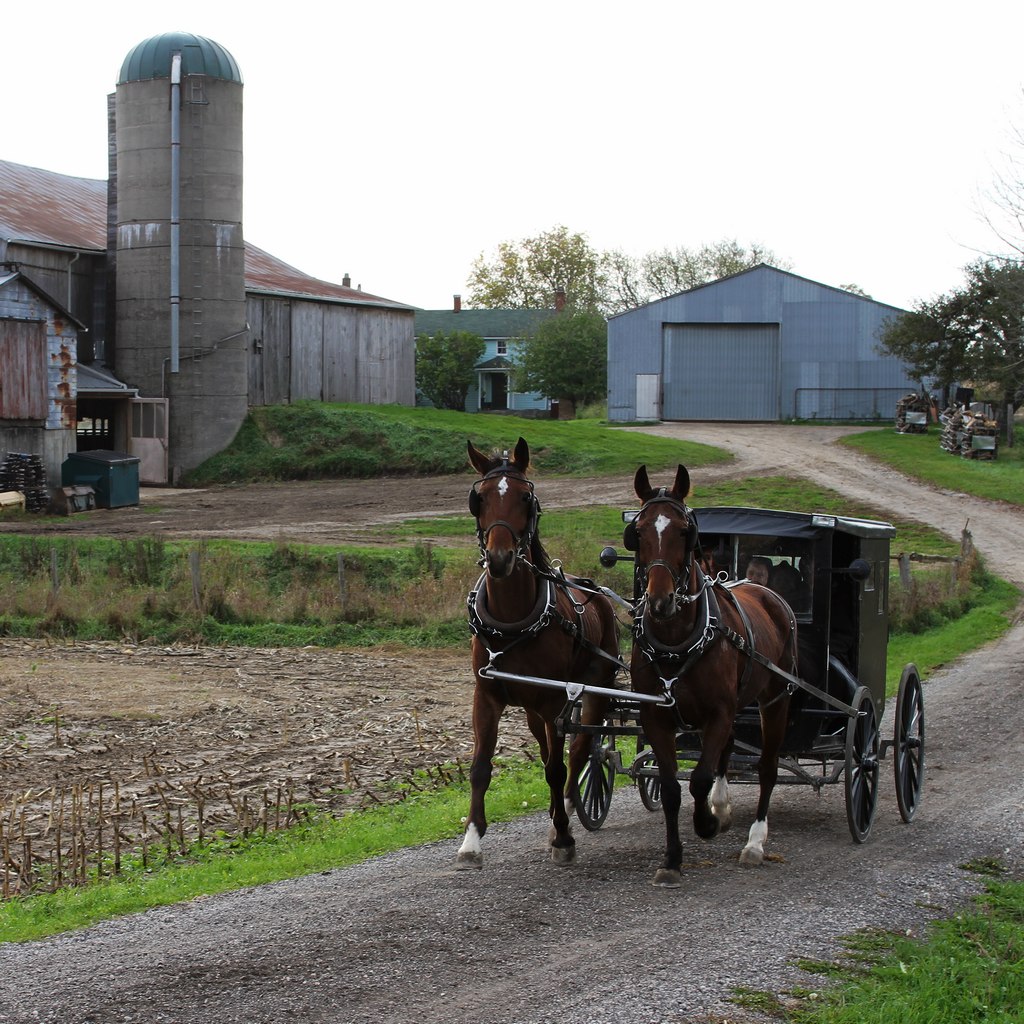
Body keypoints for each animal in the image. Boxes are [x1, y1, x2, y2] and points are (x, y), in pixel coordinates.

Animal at [458, 436, 618, 868]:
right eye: (478, 499)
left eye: (525, 498)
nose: (500, 559)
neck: (513, 618)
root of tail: (596, 591)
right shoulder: (486, 695)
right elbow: (480, 767)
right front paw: (471, 840)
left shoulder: (552, 701)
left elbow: (555, 768)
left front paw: (563, 836)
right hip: (531, 705)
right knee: (552, 747)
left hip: (592, 690)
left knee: (580, 751)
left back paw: (566, 812)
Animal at [622, 466, 798, 888]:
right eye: (638, 531)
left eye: (685, 531)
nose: (660, 601)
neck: (676, 641)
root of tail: (767, 593)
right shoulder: (657, 717)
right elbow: (672, 787)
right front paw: (672, 858)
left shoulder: (718, 711)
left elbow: (699, 778)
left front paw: (705, 824)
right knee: (728, 750)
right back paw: (723, 806)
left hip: (775, 699)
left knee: (767, 767)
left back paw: (754, 842)